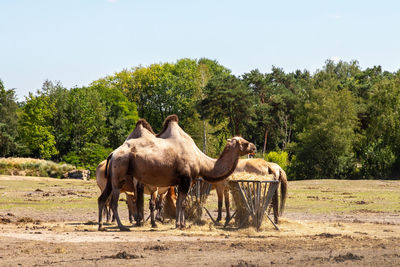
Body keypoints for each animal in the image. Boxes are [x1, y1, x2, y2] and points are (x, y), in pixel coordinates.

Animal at [100, 114, 256, 231]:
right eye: (244, 143)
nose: (254, 147)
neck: (201, 161)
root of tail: (112, 154)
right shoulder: (186, 179)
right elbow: (181, 203)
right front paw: (181, 224)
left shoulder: (182, 182)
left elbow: (181, 202)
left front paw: (179, 224)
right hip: (118, 174)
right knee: (113, 202)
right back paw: (122, 226)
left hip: (111, 178)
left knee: (102, 199)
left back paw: (101, 225)